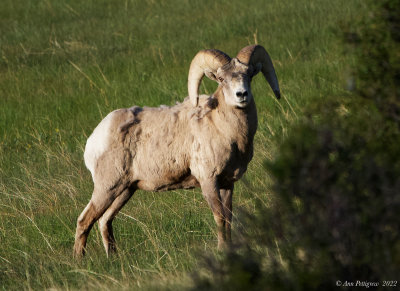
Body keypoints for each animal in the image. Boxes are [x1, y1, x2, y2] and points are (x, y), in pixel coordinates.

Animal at [73, 44, 280, 256]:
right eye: (222, 79)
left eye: (249, 75)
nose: (242, 95)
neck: (224, 130)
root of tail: (95, 139)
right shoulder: (208, 181)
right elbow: (220, 218)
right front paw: (221, 249)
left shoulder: (227, 184)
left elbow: (228, 219)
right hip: (107, 188)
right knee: (84, 220)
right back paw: (80, 260)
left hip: (124, 190)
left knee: (104, 221)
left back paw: (113, 257)